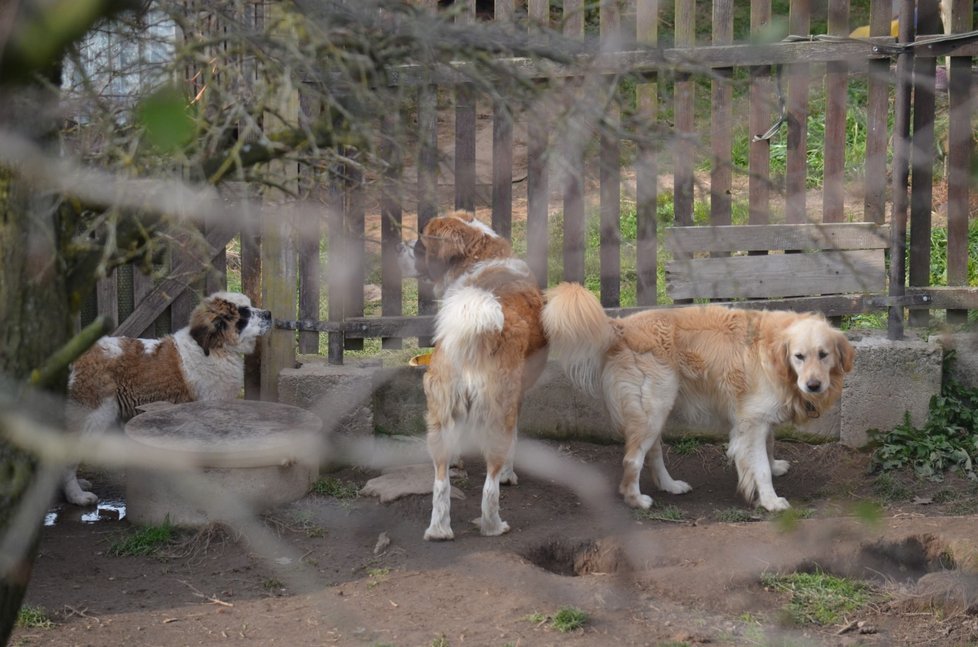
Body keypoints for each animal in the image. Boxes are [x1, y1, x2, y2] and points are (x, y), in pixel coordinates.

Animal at [398, 210, 548, 540]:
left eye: (420, 244)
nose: (401, 247)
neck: (479, 255)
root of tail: (475, 328)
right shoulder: (517, 399)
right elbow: (513, 443)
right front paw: (509, 474)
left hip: (440, 409)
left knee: (440, 483)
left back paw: (439, 529)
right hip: (499, 407)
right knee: (490, 487)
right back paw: (493, 525)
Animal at [540, 282, 856, 512]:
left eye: (824, 355)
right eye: (799, 356)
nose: (813, 385)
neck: (775, 355)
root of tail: (621, 325)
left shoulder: (759, 419)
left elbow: (767, 448)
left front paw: (774, 466)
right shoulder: (752, 420)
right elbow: (759, 466)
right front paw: (770, 501)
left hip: (657, 411)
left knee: (653, 454)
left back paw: (670, 485)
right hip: (652, 411)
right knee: (632, 460)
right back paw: (636, 499)